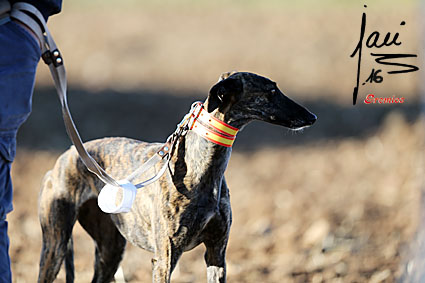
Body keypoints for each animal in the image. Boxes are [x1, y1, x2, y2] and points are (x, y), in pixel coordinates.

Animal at [37, 71, 314, 283]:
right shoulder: (164, 259)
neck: (203, 168)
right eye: (272, 92)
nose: (313, 117)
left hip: (110, 249)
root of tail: (65, 157)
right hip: (55, 245)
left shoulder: (217, 253)